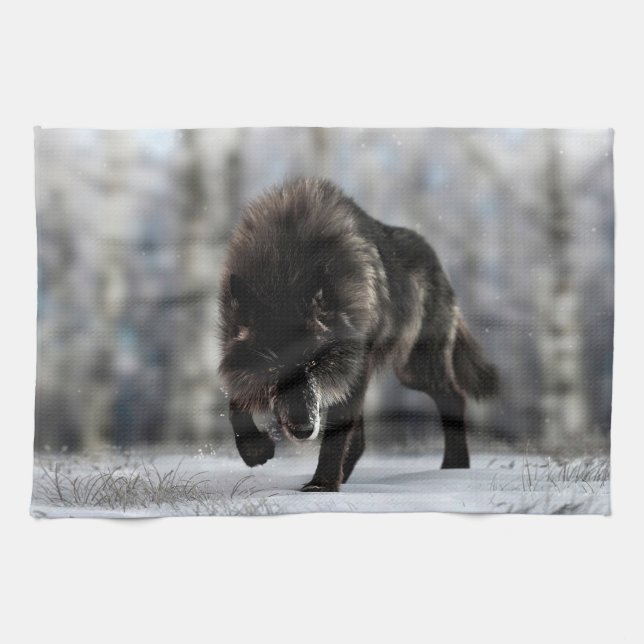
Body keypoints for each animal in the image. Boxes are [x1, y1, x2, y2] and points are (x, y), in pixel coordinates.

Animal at [218, 178, 497, 492]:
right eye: (274, 367)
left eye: (313, 362)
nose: (304, 430)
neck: (286, 269)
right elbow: (235, 404)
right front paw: (255, 451)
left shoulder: (353, 366)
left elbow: (336, 434)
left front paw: (321, 486)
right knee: (362, 439)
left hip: (412, 369)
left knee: (454, 398)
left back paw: (454, 470)